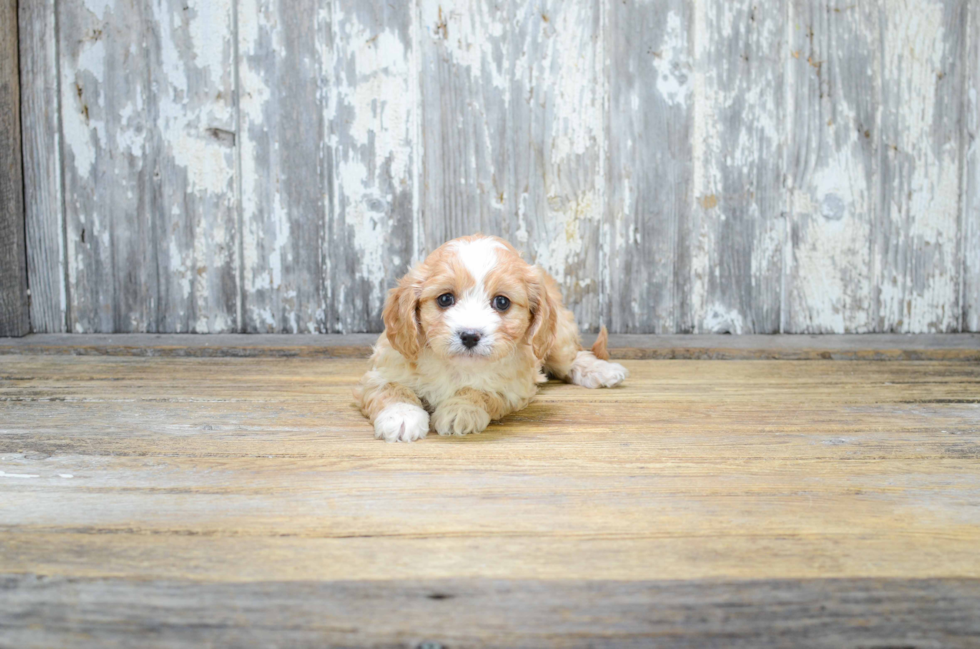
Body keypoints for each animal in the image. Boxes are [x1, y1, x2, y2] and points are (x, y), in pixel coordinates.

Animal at [352, 235, 628, 442]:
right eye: (445, 299)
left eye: (502, 302)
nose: (469, 336)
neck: (456, 367)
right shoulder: (382, 368)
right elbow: (391, 388)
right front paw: (401, 417)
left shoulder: (513, 386)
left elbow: (480, 391)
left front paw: (460, 409)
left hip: (554, 340)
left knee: (571, 358)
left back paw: (602, 370)